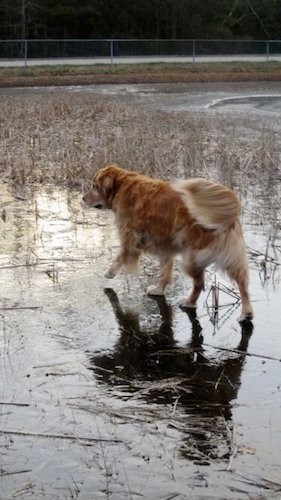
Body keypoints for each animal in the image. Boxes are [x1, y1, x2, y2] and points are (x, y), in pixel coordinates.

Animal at [82, 164, 252, 320]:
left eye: (95, 186)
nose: (83, 198)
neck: (121, 186)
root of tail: (227, 218)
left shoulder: (129, 239)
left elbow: (119, 257)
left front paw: (108, 274)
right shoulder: (165, 246)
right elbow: (165, 272)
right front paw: (159, 289)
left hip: (191, 259)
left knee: (199, 284)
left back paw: (189, 302)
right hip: (232, 259)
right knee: (243, 284)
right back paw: (247, 312)